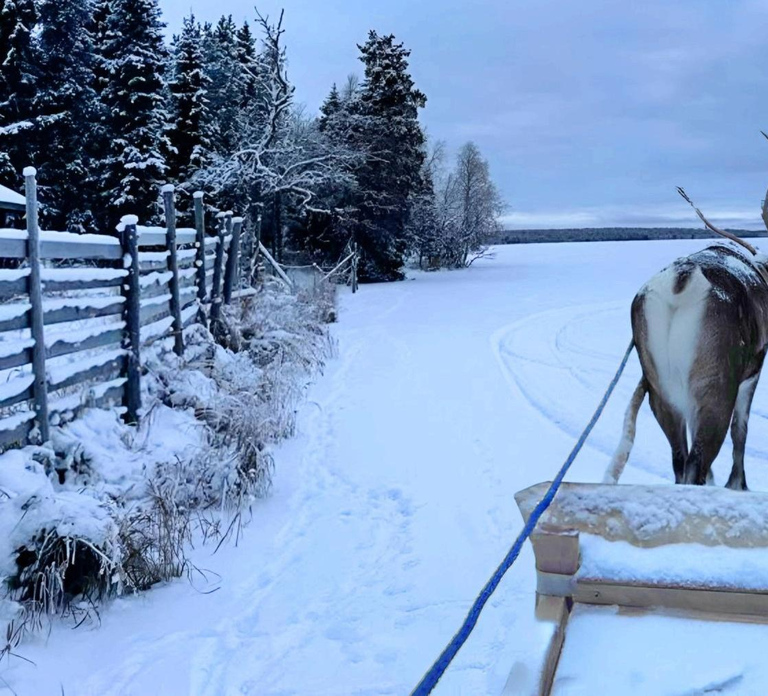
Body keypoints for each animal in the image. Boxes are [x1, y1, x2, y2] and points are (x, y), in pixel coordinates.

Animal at [605, 189, 768, 490]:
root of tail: (680, 282)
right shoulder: (754, 367)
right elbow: (740, 429)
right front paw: (738, 484)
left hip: (661, 389)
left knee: (680, 459)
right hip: (716, 384)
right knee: (697, 462)